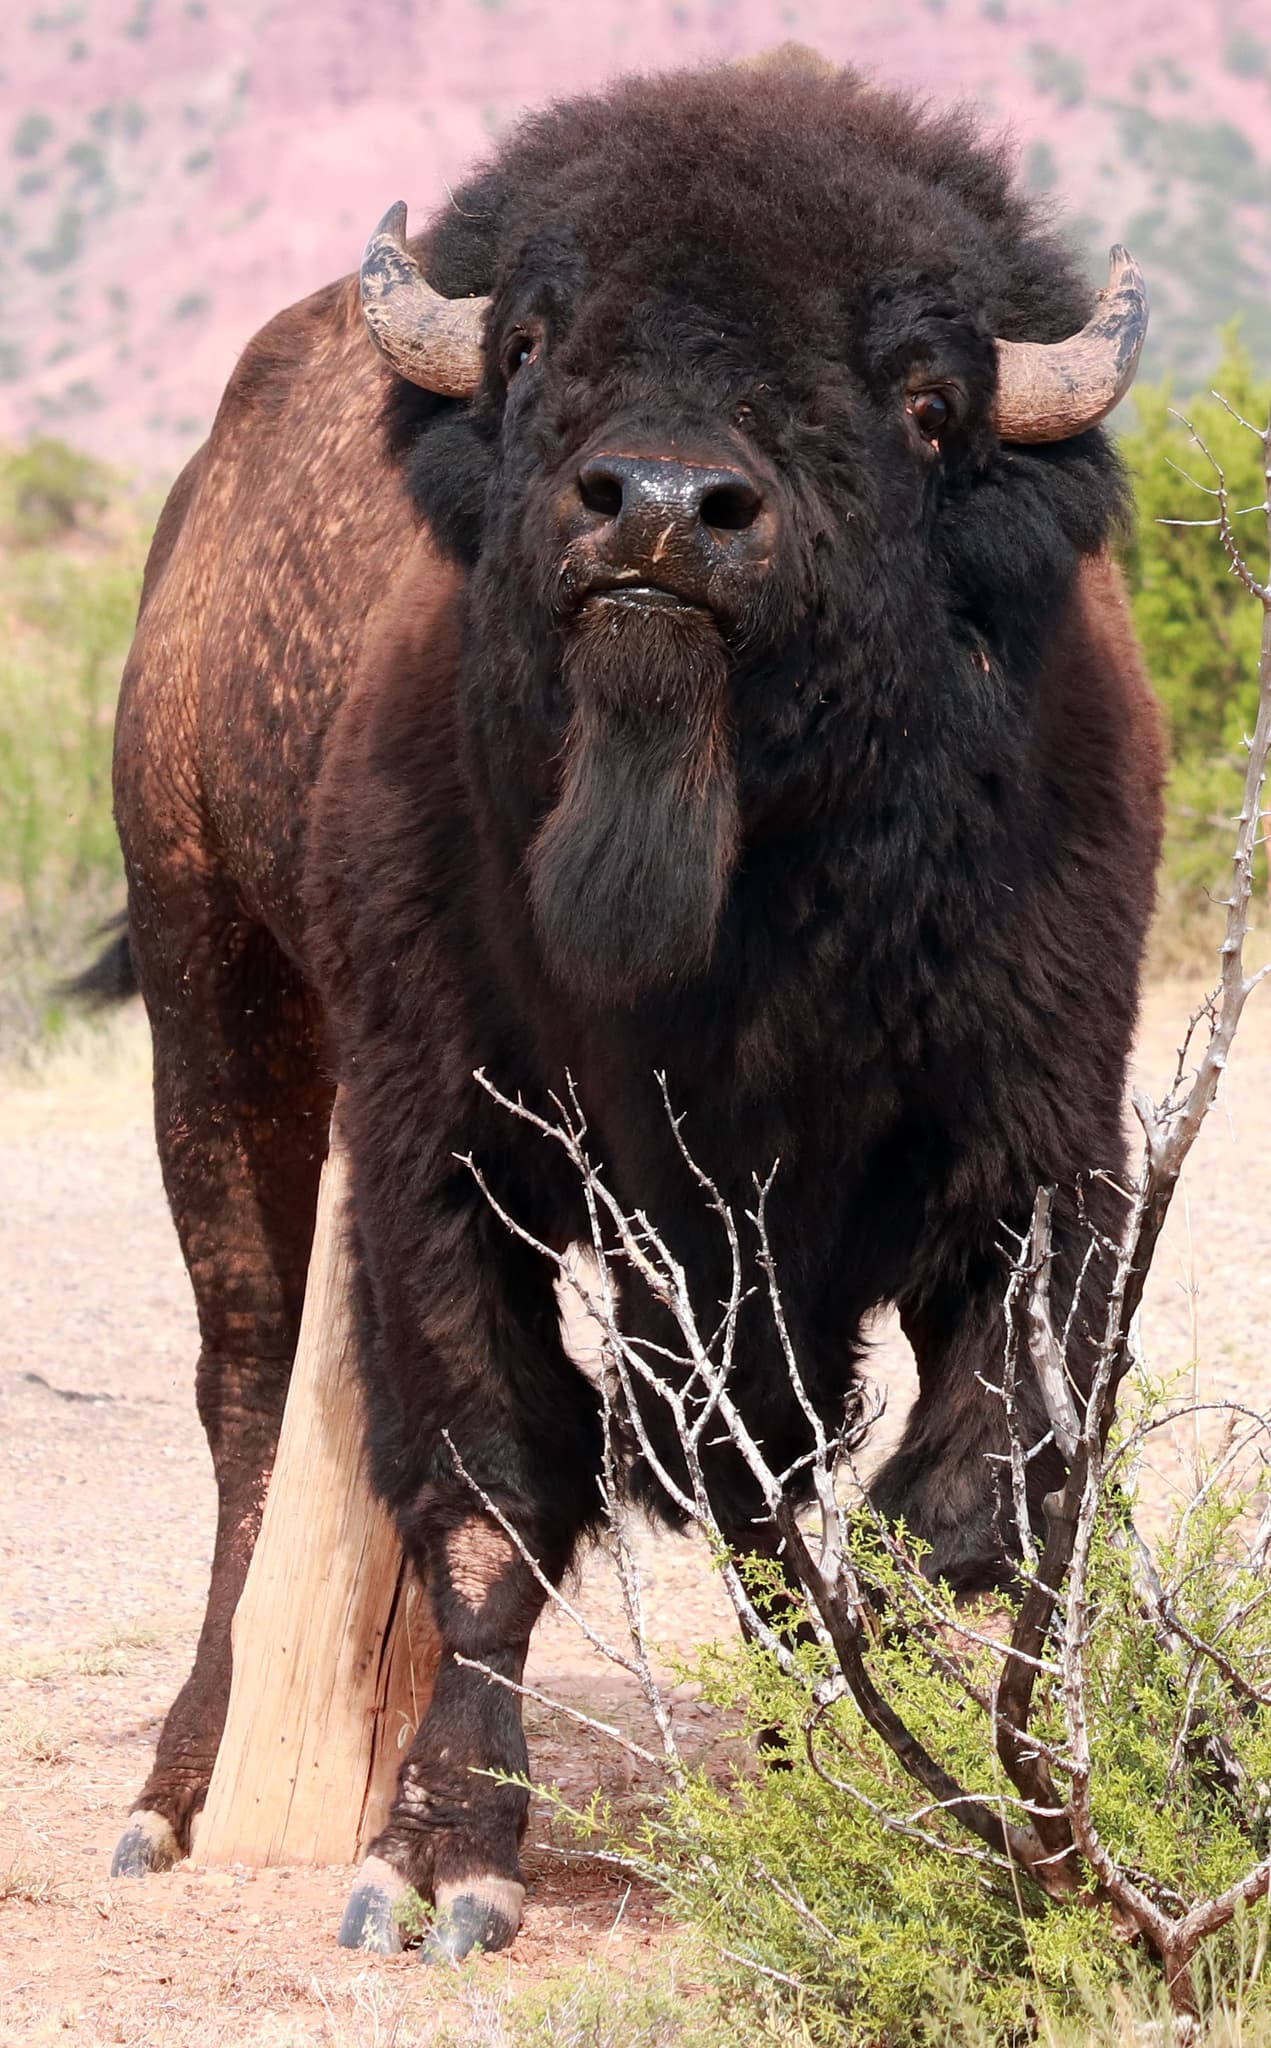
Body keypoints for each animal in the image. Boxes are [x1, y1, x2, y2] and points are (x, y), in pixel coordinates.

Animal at [93, 49, 1163, 1959]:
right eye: (532, 342)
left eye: (924, 399)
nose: (660, 507)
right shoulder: (441, 1162)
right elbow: (491, 1494)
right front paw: (435, 1868)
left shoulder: (1035, 1174)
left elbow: (936, 1508)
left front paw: (904, 1797)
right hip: (211, 995)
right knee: (247, 1398)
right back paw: (174, 1796)